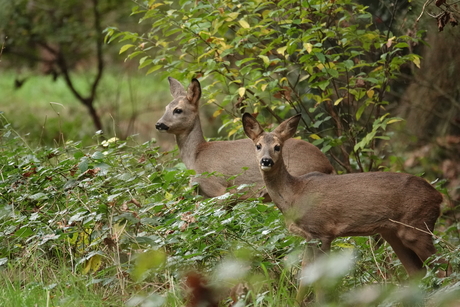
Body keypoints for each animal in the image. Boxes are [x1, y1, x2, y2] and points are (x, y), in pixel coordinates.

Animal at [155, 78, 334, 201]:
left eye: (178, 110)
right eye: (165, 108)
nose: (159, 124)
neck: (196, 156)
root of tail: (328, 165)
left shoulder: (219, 189)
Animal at [243, 112, 448, 288]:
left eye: (278, 146)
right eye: (258, 145)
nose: (266, 161)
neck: (294, 194)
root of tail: (438, 196)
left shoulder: (321, 231)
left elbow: (318, 279)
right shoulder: (311, 237)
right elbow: (305, 277)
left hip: (416, 225)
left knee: (444, 266)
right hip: (392, 233)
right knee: (418, 272)